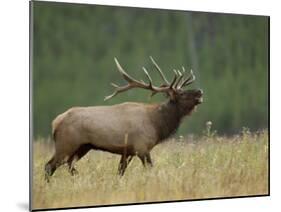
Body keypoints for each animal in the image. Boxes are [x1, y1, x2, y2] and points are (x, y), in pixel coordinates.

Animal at [44, 56, 201, 181]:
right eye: (182, 94)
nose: (200, 91)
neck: (157, 124)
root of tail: (55, 122)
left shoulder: (128, 152)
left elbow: (120, 172)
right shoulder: (141, 147)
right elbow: (150, 168)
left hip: (82, 147)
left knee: (69, 165)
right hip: (66, 144)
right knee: (49, 166)